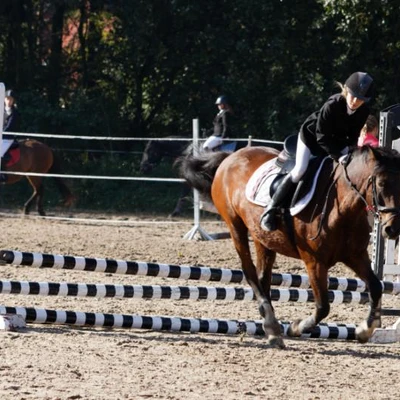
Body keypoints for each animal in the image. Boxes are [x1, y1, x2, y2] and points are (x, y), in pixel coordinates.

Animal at [178, 145, 400, 348]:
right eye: (381, 183)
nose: (392, 229)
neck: (343, 209)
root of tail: (230, 157)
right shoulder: (314, 261)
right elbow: (323, 306)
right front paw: (296, 327)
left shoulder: (355, 255)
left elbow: (376, 286)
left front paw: (365, 329)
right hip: (235, 225)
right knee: (250, 271)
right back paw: (273, 326)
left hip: (262, 237)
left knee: (263, 277)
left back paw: (270, 327)